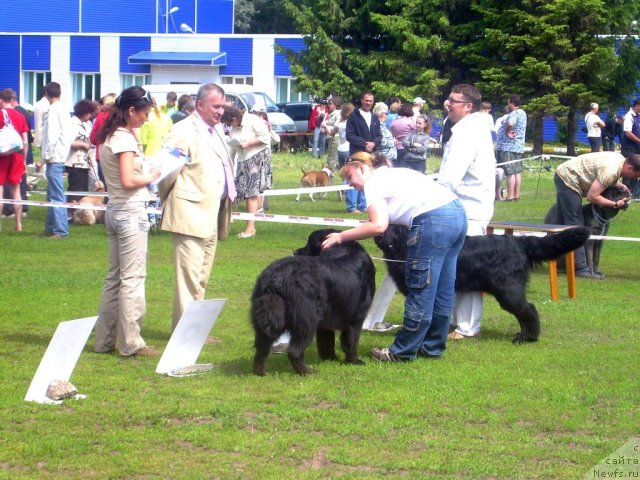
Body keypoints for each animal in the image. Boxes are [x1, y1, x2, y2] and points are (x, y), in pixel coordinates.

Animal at [250, 229, 376, 376]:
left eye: (309, 244)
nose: (295, 252)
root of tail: (275, 278)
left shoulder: (326, 323)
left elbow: (326, 342)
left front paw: (330, 359)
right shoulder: (356, 318)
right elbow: (352, 342)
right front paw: (354, 361)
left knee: (261, 348)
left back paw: (260, 372)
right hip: (307, 321)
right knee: (294, 350)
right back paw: (307, 371)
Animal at [376, 223, 592, 344]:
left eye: (391, 227)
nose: (379, 235)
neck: (405, 246)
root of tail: (518, 242)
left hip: (508, 290)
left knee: (528, 309)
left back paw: (527, 338)